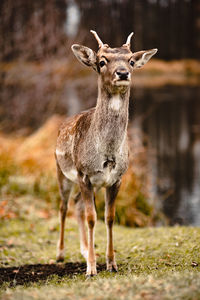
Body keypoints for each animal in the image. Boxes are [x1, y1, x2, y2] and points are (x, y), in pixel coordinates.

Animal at [55, 30, 158, 276]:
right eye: (102, 62)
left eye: (131, 61)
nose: (123, 72)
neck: (107, 153)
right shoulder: (84, 174)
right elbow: (92, 218)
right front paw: (91, 269)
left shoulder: (116, 178)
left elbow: (108, 218)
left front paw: (111, 263)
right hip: (62, 173)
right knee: (63, 206)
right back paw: (60, 254)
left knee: (76, 204)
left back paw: (84, 250)